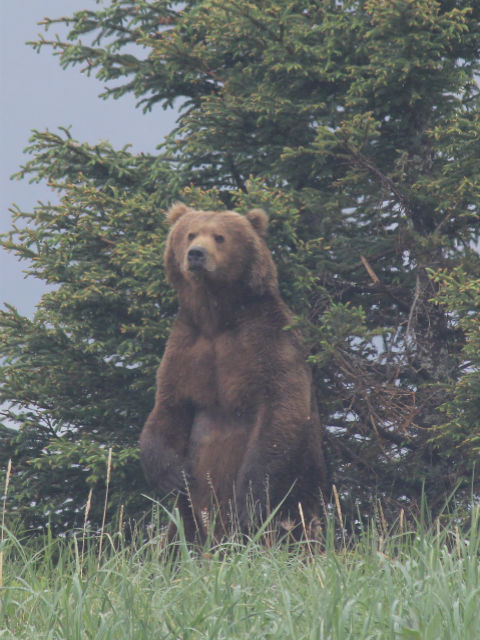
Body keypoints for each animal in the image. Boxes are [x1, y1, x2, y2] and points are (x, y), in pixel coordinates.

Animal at [139, 201, 326, 540]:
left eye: (220, 236)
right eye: (190, 234)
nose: (196, 255)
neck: (217, 317)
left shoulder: (267, 342)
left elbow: (281, 408)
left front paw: (249, 499)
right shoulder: (186, 350)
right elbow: (168, 408)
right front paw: (173, 475)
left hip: (302, 492)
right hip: (187, 521)